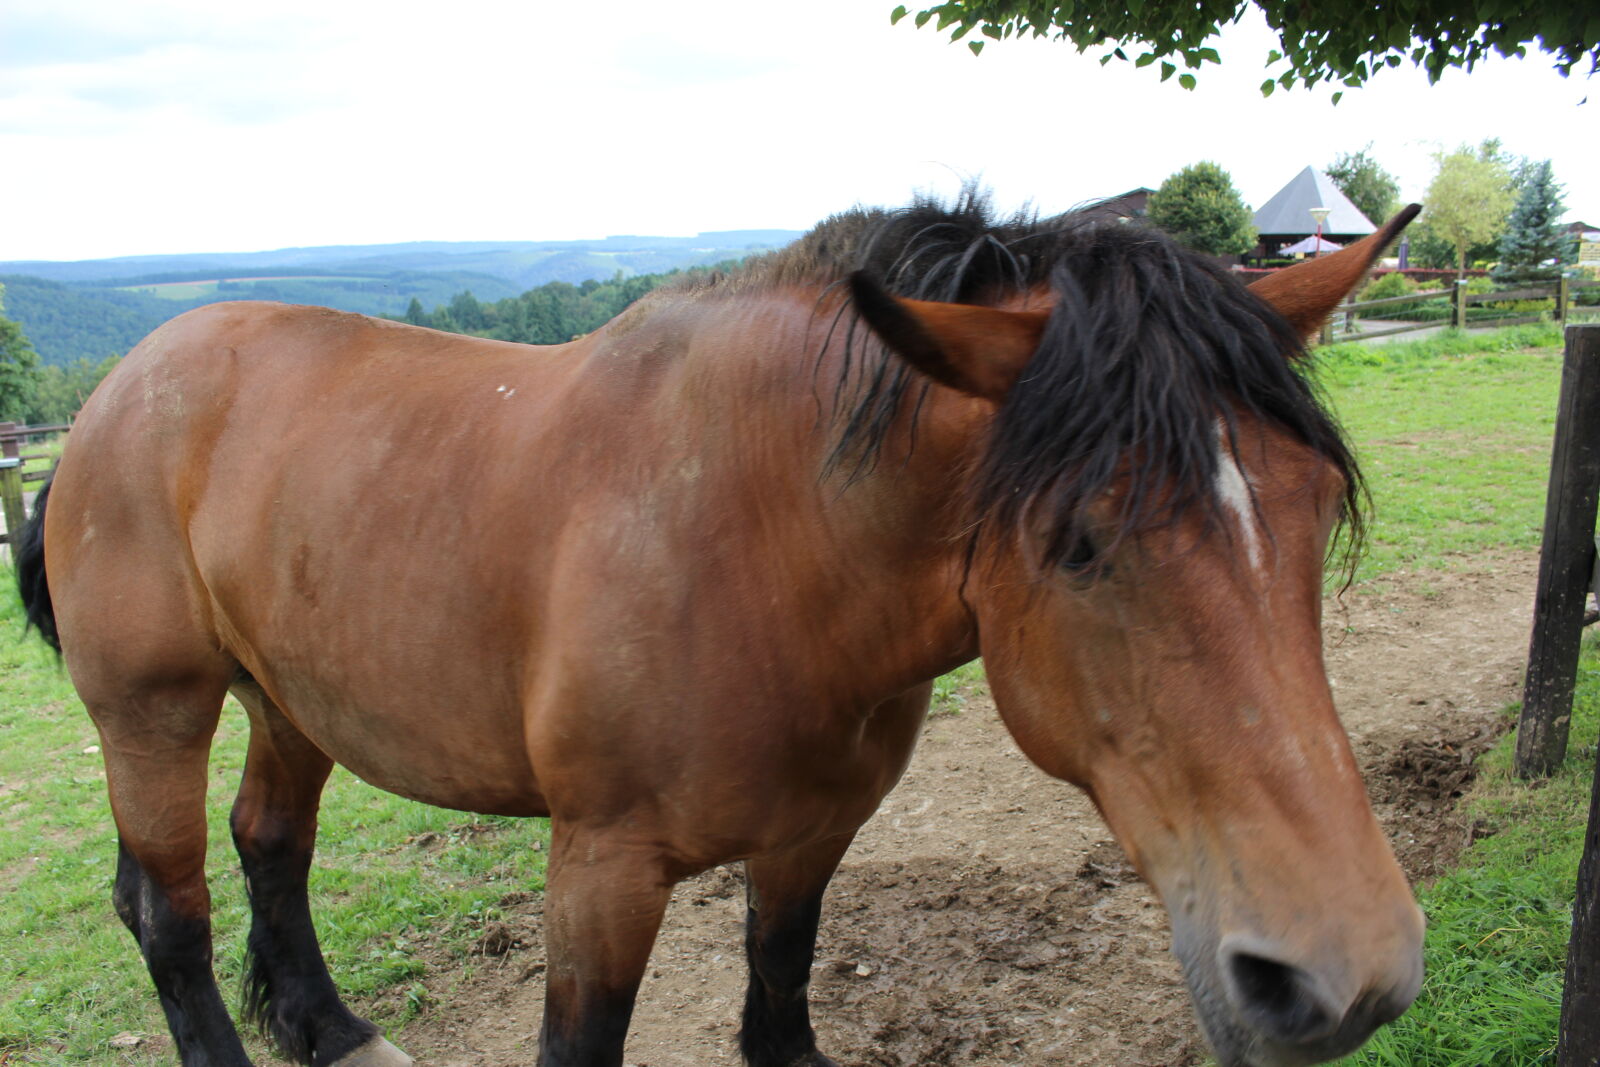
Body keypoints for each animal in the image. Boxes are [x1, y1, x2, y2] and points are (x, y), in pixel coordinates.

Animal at [16, 192, 1425, 1067]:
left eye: (1313, 515)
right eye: (1079, 539)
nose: (1343, 974)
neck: (756, 536)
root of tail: (118, 393)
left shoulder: (812, 834)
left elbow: (782, 982)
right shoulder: (601, 869)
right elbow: (580, 1035)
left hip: (290, 695)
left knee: (270, 847)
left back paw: (334, 1026)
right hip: (153, 711)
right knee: (167, 907)